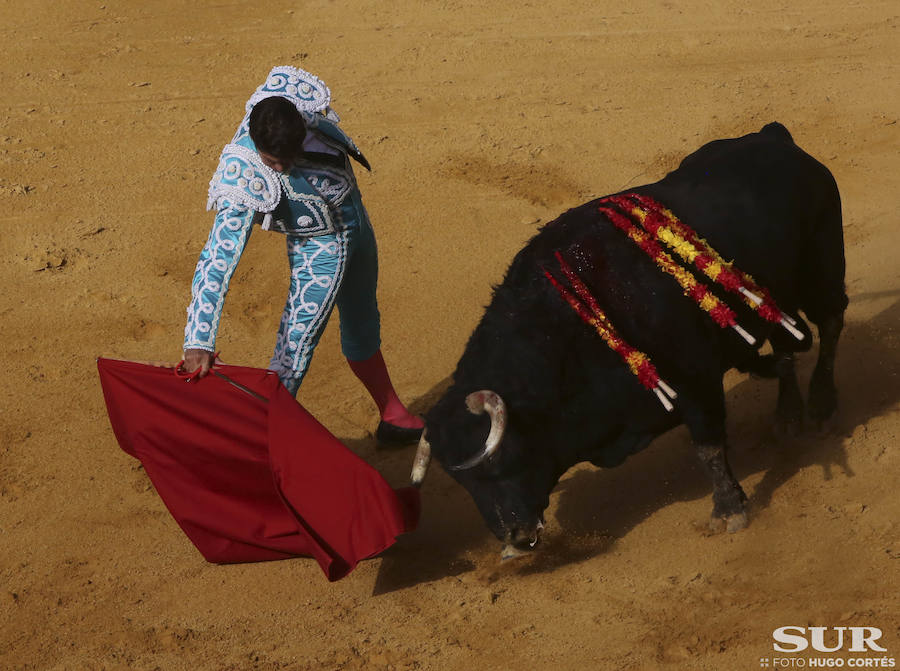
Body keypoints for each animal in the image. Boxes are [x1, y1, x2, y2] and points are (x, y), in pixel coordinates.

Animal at [412, 122, 848, 556]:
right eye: (462, 482)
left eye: (500, 462)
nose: (515, 539)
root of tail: (775, 137)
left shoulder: (697, 382)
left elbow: (707, 447)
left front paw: (728, 511)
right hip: (778, 296)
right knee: (789, 341)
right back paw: (787, 417)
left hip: (822, 266)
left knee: (830, 321)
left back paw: (823, 405)